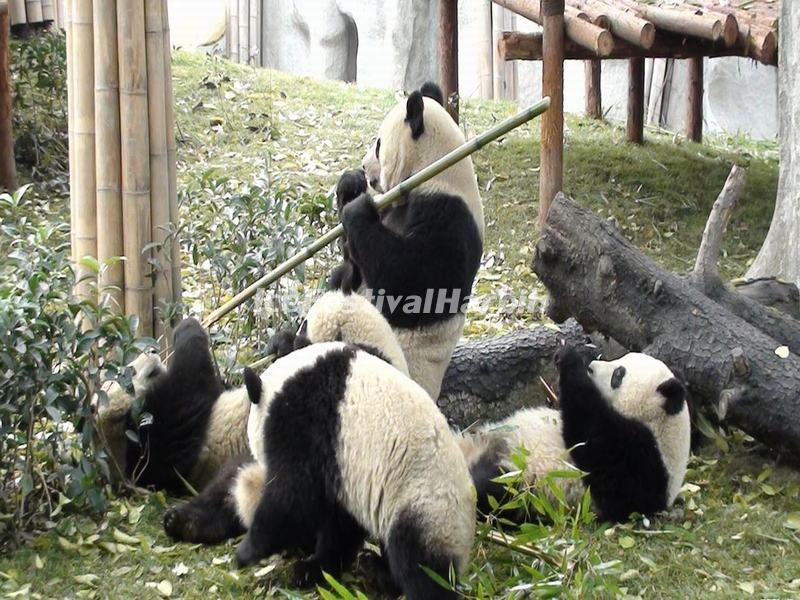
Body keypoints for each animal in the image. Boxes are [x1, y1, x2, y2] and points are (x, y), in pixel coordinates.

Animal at [236, 341, 475, 599]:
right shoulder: (342, 466)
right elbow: (339, 521)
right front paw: (315, 567)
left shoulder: (305, 420)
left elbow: (294, 497)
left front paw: (246, 552)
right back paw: (374, 567)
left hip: (425, 506)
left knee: (417, 564)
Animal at [330, 81, 484, 399]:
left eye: (378, 145)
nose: (364, 167)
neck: (435, 168)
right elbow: (352, 268)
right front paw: (350, 185)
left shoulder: (450, 214)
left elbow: (411, 284)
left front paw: (357, 209)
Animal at [460, 347, 691, 523]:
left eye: (618, 374)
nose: (591, 367)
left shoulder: (640, 463)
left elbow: (589, 434)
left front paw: (570, 358)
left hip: (524, 483)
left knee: (491, 489)